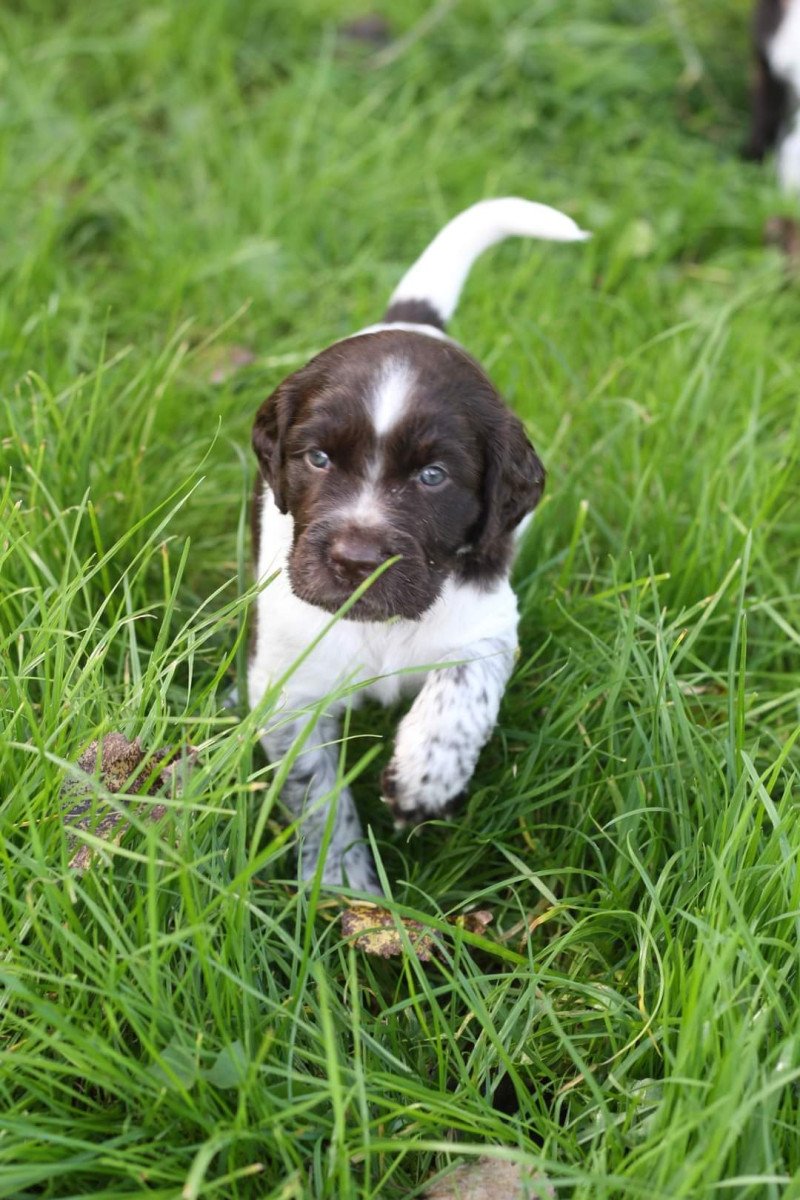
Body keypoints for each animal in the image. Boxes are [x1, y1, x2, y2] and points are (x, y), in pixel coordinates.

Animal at [248, 199, 587, 892]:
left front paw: (425, 777)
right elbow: (315, 792)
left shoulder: (489, 619)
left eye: (433, 477)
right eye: (318, 459)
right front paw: (342, 882)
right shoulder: (288, 691)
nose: (355, 562)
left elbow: (465, 685)